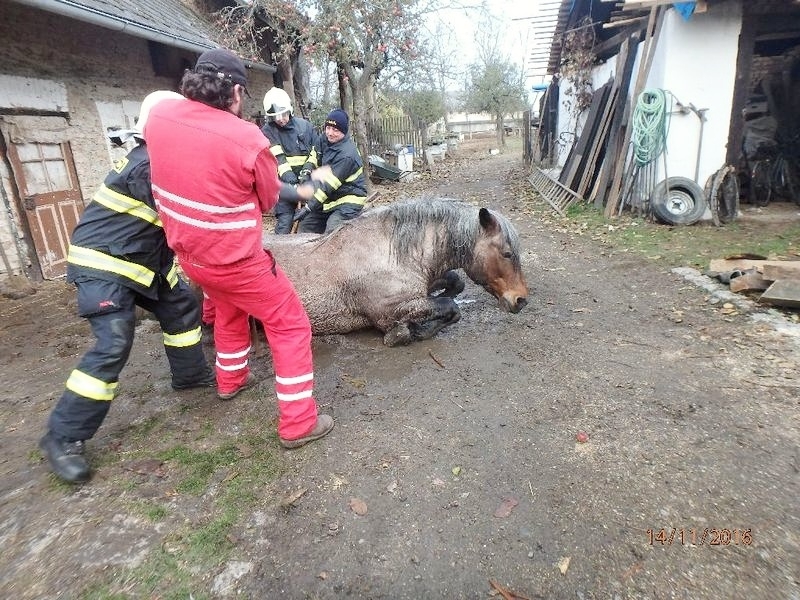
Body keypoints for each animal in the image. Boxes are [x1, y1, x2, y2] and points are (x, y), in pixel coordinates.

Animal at [260, 198, 532, 346]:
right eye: (507, 253)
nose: (521, 300)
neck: (389, 250)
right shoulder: (390, 310)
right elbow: (451, 308)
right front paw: (410, 332)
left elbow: (456, 285)